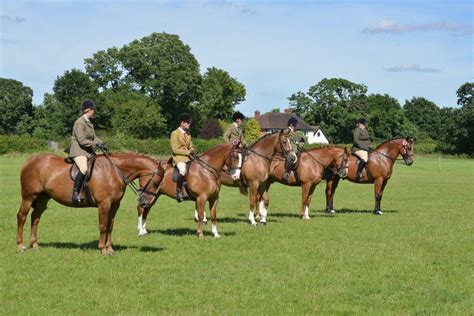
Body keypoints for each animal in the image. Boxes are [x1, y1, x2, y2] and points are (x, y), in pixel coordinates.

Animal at [16, 152, 165, 256]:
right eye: (156, 182)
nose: (145, 203)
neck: (114, 171)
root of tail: (30, 160)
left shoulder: (114, 205)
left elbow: (110, 226)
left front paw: (110, 249)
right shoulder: (104, 204)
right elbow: (103, 226)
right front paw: (103, 250)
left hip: (42, 198)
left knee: (35, 218)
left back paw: (35, 245)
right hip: (29, 197)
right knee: (22, 216)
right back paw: (20, 246)